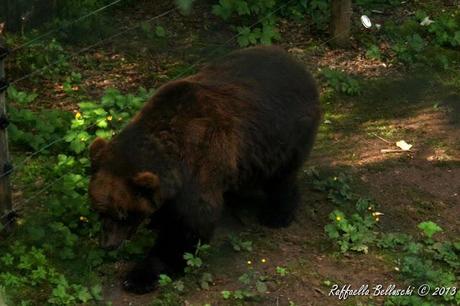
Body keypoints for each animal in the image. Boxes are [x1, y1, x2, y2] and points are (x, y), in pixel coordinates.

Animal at [89, 46, 320, 294]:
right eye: (99, 210)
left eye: (123, 214)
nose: (107, 244)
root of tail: (297, 63)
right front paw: (156, 221)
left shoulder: (200, 163)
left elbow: (190, 224)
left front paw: (140, 276)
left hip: (283, 134)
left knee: (281, 177)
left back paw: (277, 215)